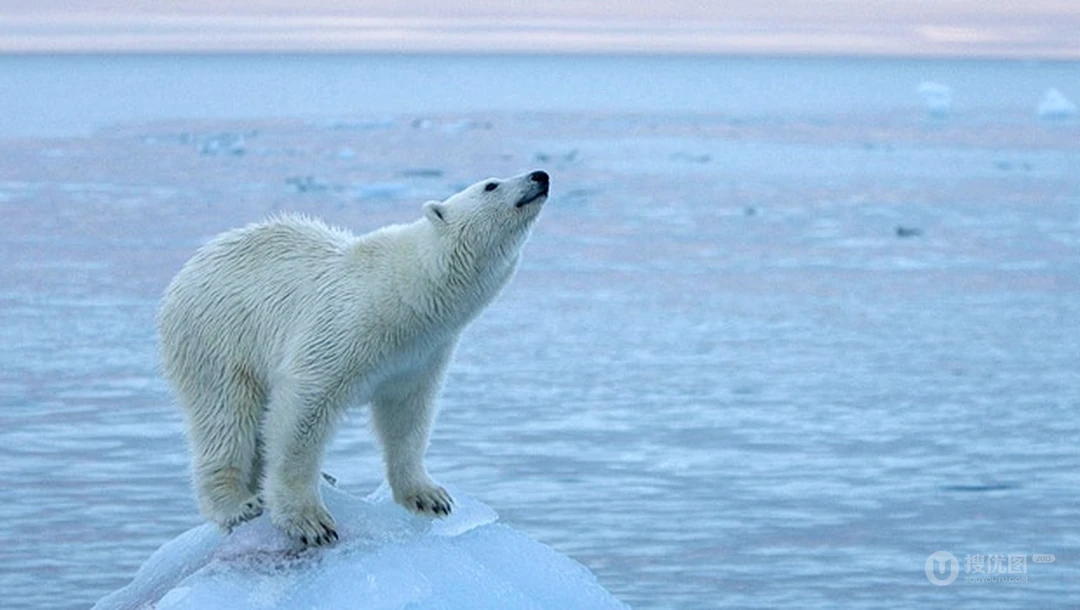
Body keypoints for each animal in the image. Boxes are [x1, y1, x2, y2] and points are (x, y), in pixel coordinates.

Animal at [157, 170, 549, 545]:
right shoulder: (341, 327)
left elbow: (407, 416)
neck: (407, 295)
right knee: (225, 414)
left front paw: (429, 496)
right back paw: (238, 504)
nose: (541, 175)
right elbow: (301, 412)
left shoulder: (419, 355)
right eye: (491, 185)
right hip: (218, 336)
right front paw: (308, 521)